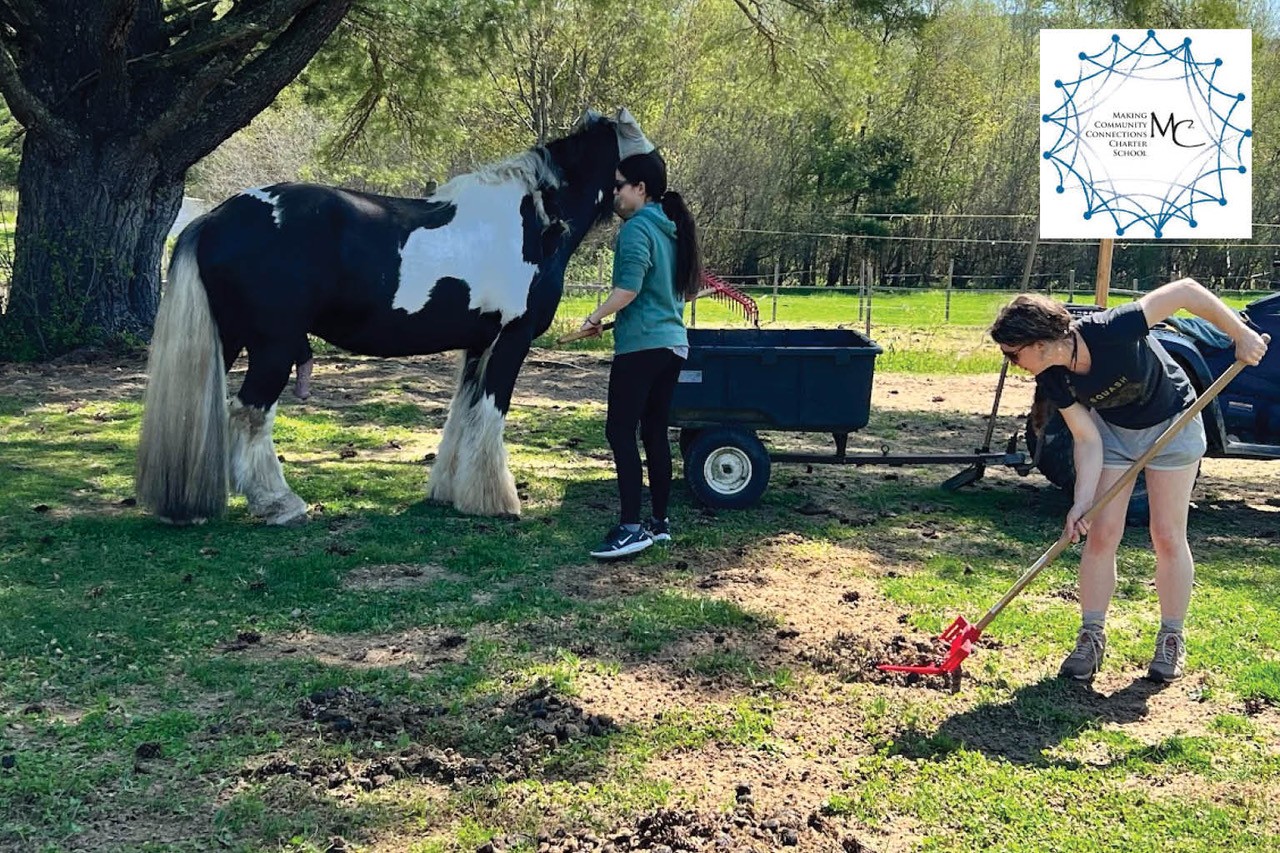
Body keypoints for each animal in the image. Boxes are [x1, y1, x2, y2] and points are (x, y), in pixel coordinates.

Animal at [142, 109, 650, 522]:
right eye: (647, 156)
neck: (535, 218)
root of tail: (214, 218)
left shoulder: (478, 344)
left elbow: (463, 414)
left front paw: (449, 492)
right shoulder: (512, 338)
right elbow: (490, 412)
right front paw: (494, 501)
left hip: (227, 338)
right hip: (274, 346)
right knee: (248, 413)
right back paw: (278, 503)